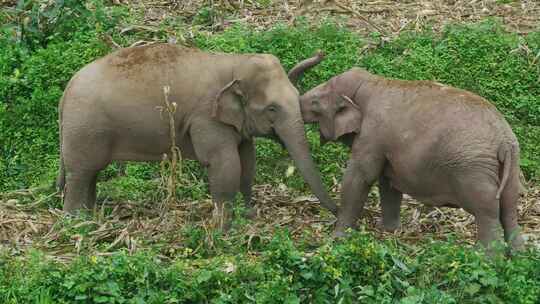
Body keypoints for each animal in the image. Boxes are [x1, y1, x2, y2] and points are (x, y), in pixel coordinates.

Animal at [54, 44, 336, 227]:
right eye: (272, 108)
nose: (322, 52)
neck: (234, 62)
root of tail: (66, 90)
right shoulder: (206, 117)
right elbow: (225, 163)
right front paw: (223, 227)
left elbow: (248, 162)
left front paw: (249, 216)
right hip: (84, 128)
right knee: (80, 173)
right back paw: (74, 224)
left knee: (91, 174)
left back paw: (89, 217)